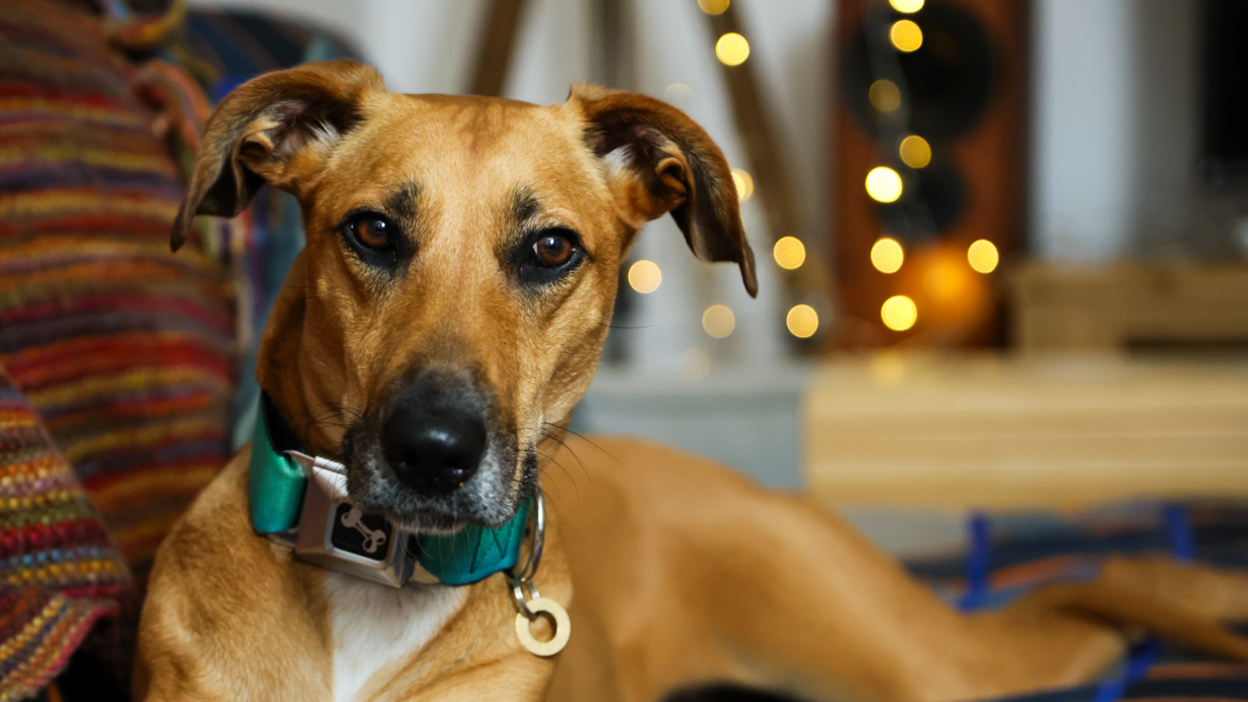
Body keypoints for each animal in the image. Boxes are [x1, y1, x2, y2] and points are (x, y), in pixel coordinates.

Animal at [134, 59, 1248, 699]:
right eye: (370, 232)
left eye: (549, 249)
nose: (433, 454)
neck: (372, 589)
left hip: (922, 662)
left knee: (1094, 599)